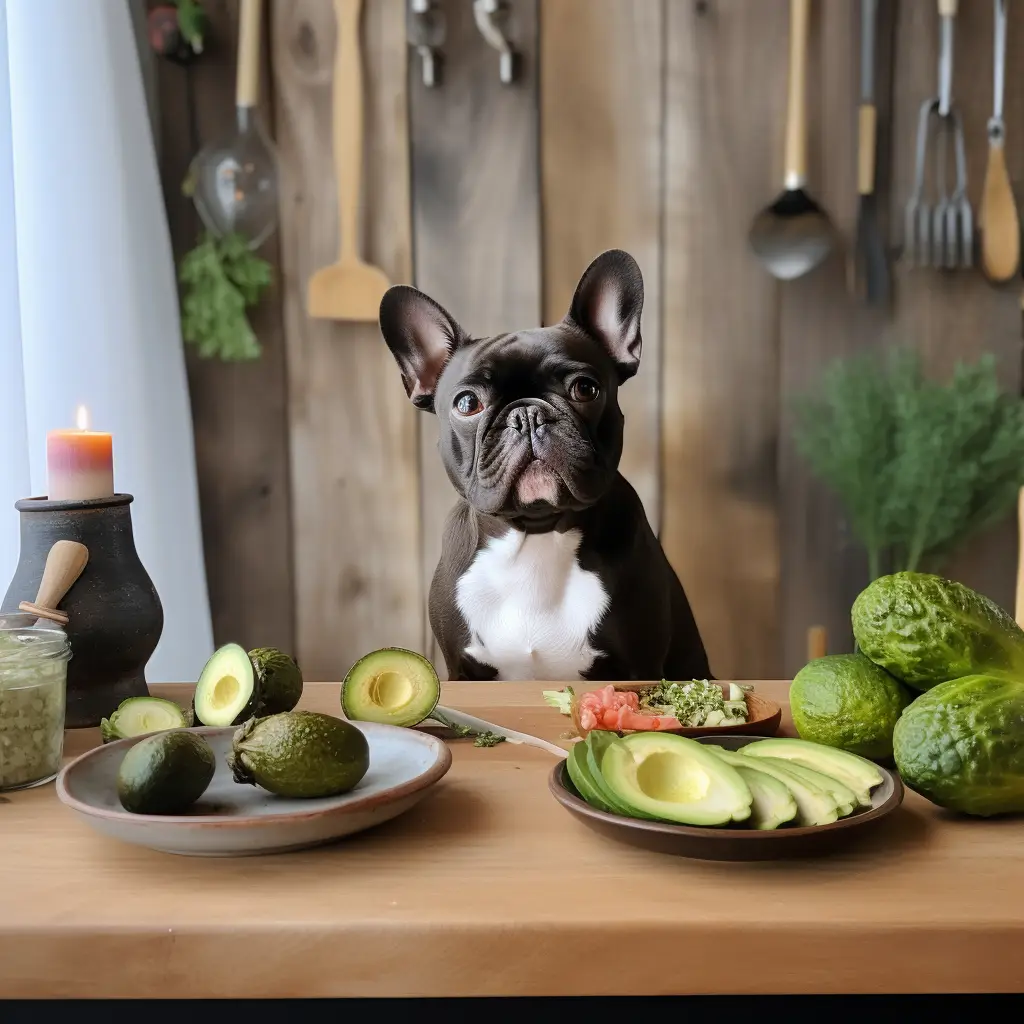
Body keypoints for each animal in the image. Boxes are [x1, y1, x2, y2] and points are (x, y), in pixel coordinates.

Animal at [380, 247, 708, 679]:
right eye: (467, 403)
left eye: (585, 389)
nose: (527, 414)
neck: (536, 536)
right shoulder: (462, 670)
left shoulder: (641, 668)